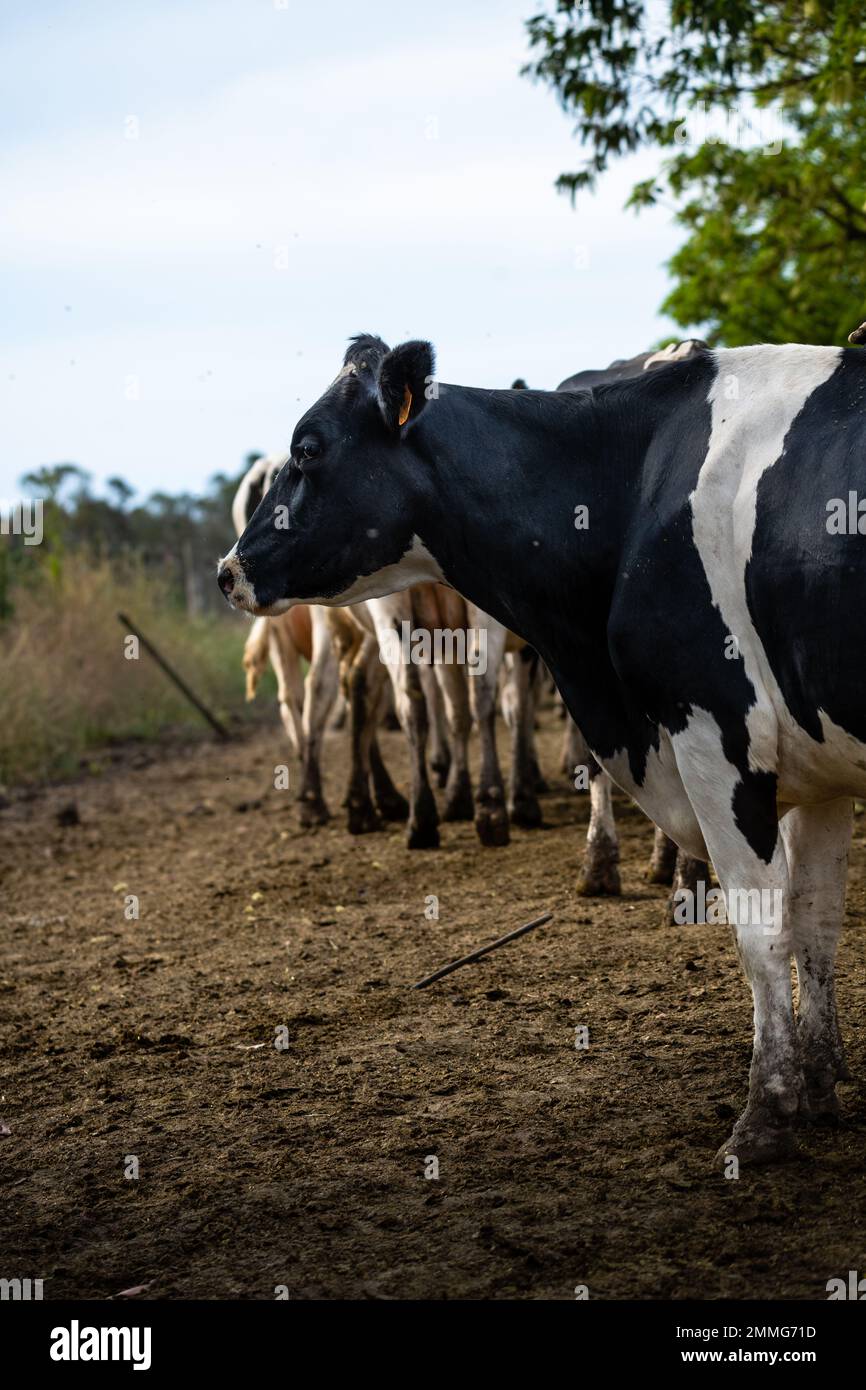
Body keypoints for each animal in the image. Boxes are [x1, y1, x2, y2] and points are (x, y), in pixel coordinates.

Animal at [219, 331, 866, 1167]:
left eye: (310, 446)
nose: (228, 569)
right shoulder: (809, 766)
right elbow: (815, 924)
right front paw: (818, 1088)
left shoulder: (717, 734)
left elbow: (768, 929)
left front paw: (769, 1112)